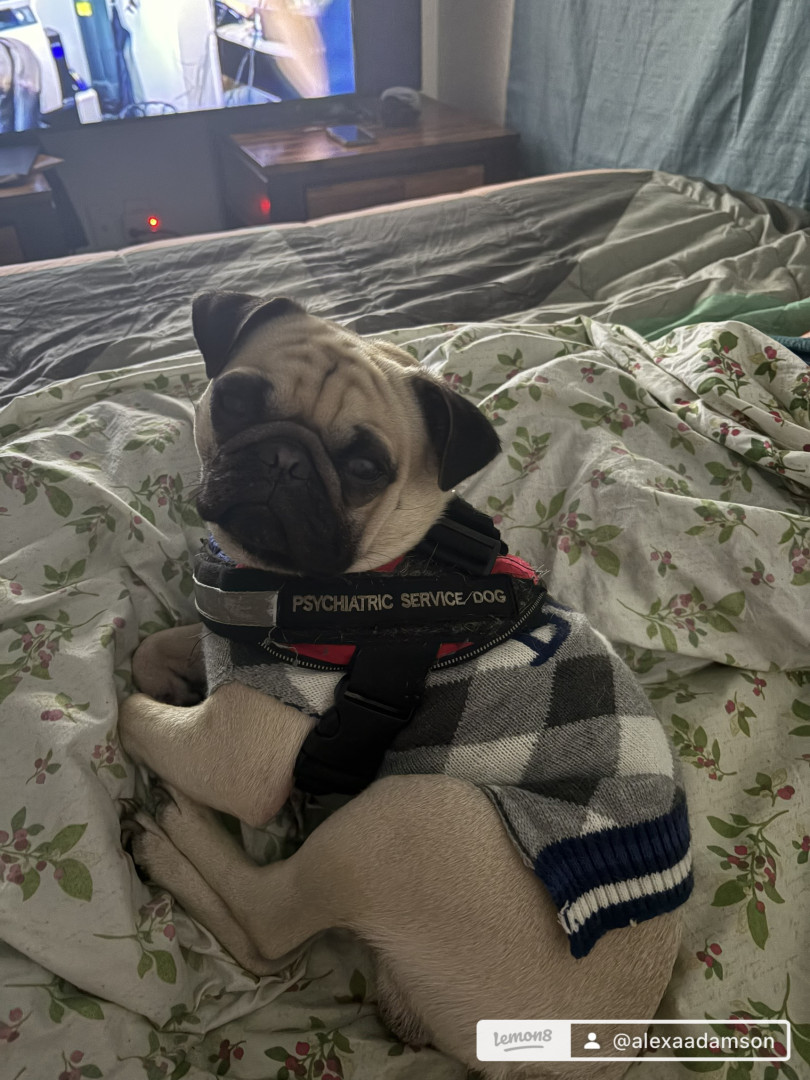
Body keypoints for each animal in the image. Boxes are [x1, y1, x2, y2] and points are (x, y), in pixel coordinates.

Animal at [119, 293, 687, 1079]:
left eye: (365, 466)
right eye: (234, 400)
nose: (283, 458)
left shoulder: (238, 751)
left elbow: (129, 713)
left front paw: (151, 715)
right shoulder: (233, 654)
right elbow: (161, 648)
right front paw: (173, 675)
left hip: (405, 818)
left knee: (270, 930)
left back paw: (172, 836)